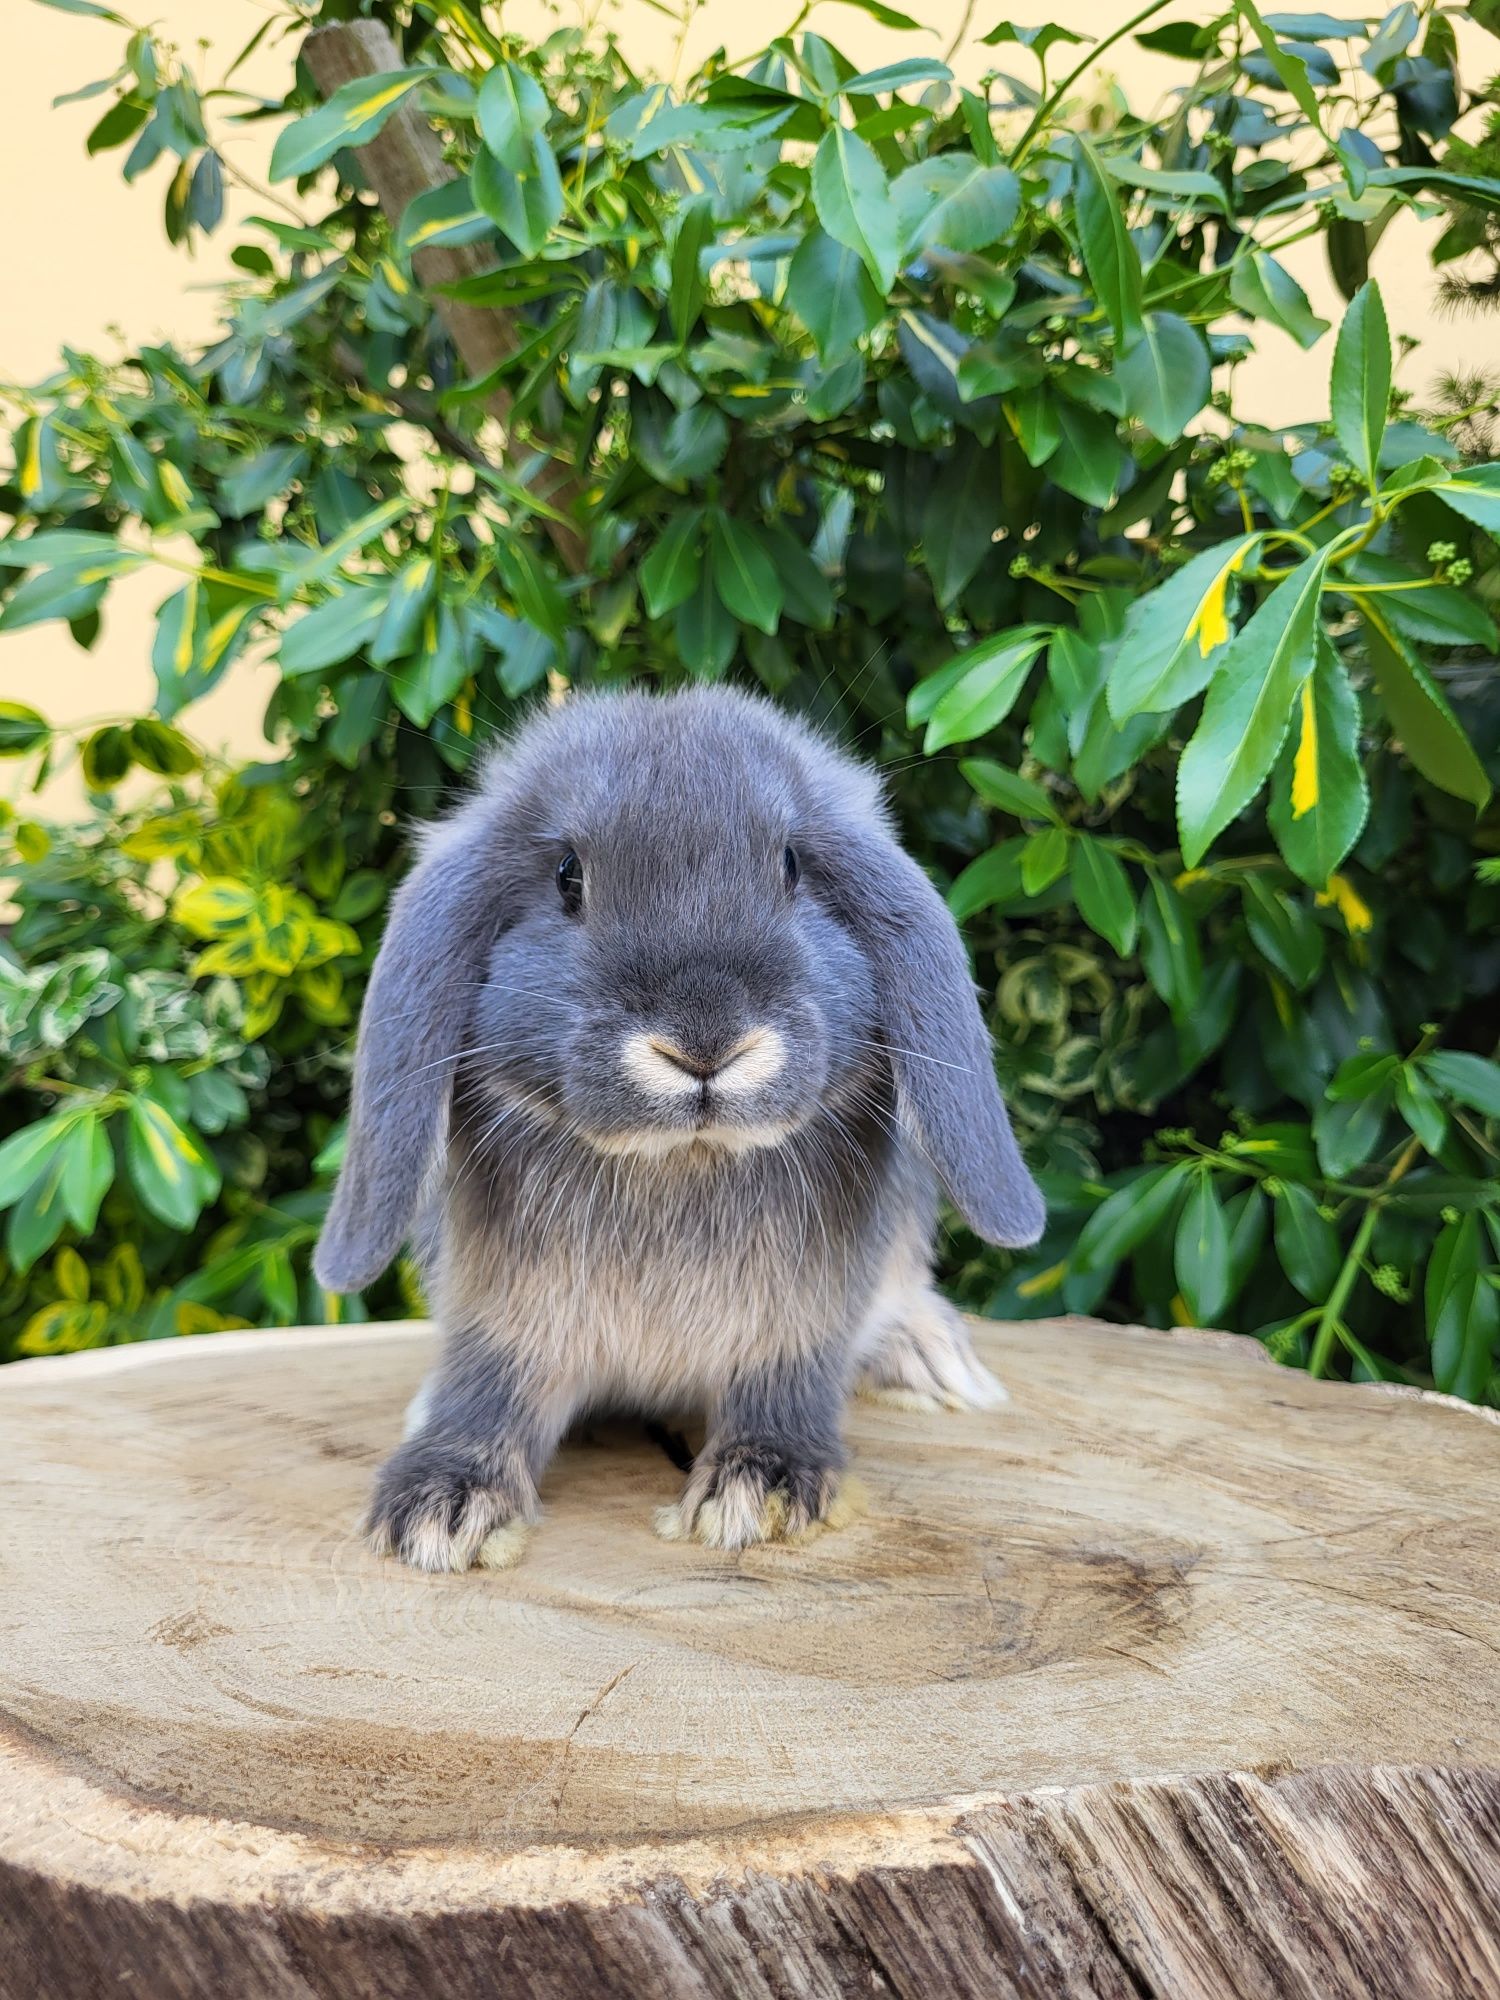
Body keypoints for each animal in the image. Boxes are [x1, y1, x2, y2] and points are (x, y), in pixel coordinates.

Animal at [318, 696, 1048, 1568]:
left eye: (792, 866)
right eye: (568, 876)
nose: (706, 1042)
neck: (681, 1160)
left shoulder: (796, 1322)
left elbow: (784, 1385)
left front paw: (763, 1484)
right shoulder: (504, 1315)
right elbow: (490, 1387)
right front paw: (441, 1502)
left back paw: (928, 1357)